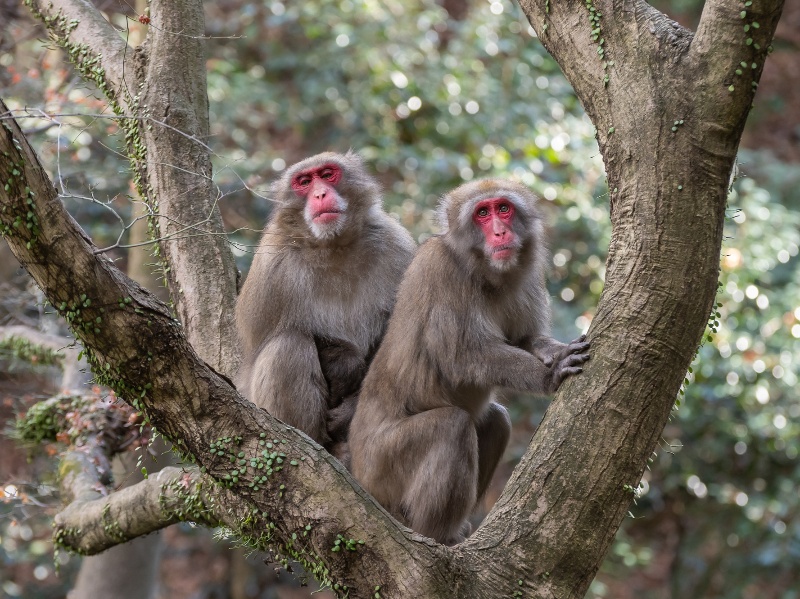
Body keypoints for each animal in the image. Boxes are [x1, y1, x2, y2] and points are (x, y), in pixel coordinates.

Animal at [234, 152, 416, 462]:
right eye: (304, 182)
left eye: (328, 174)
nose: (320, 194)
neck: (333, 248)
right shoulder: (271, 271)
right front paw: (345, 362)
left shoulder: (398, 248)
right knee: (288, 345)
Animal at [348, 177, 588, 544]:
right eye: (482, 214)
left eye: (503, 208)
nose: (500, 232)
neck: (484, 273)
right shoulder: (441, 269)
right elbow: (462, 358)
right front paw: (549, 375)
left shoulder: (526, 274)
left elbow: (524, 339)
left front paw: (554, 351)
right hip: (381, 465)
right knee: (452, 427)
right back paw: (434, 536)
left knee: (496, 421)